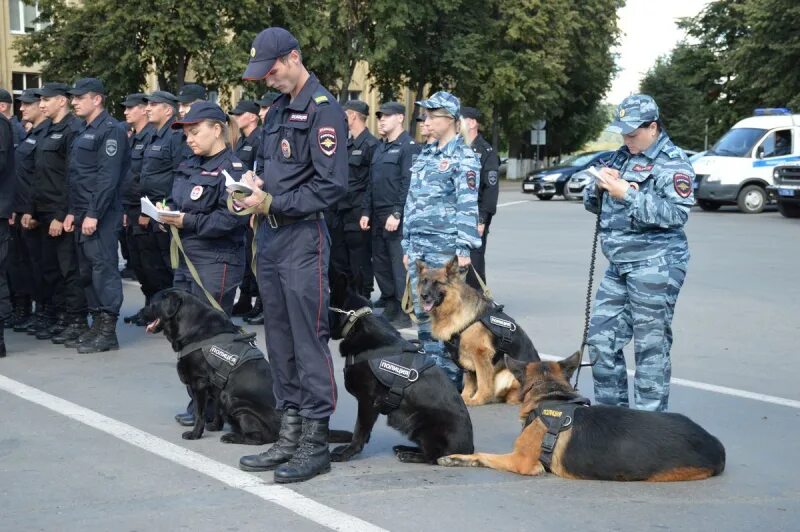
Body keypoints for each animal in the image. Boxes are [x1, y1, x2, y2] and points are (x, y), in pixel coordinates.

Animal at [145, 290, 352, 444]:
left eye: (151, 304)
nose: (138, 316)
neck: (192, 325)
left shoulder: (199, 383)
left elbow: (200, 413)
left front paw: (196, 433)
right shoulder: (215, 386)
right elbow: (216, 409)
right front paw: (215, 426)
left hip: (235, 402)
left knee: (262, 437)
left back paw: (233, 437)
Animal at [326, 274, 476, 462]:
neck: (357, 323)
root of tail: (469, 449)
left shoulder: (367, 401)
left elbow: (359, 430)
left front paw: (348, 452)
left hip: (418, 421)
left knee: (434, 456)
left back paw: (409, 455)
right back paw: (405, 448)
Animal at [416, 256, 540, 406]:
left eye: (437, 283)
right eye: (424, 281)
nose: (423, 296)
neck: (454, 307)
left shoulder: (481, 354)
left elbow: (482, 381)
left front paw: (478, 399)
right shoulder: (465, 357)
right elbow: (470, 381)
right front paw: (464, 397)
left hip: (507, 373)